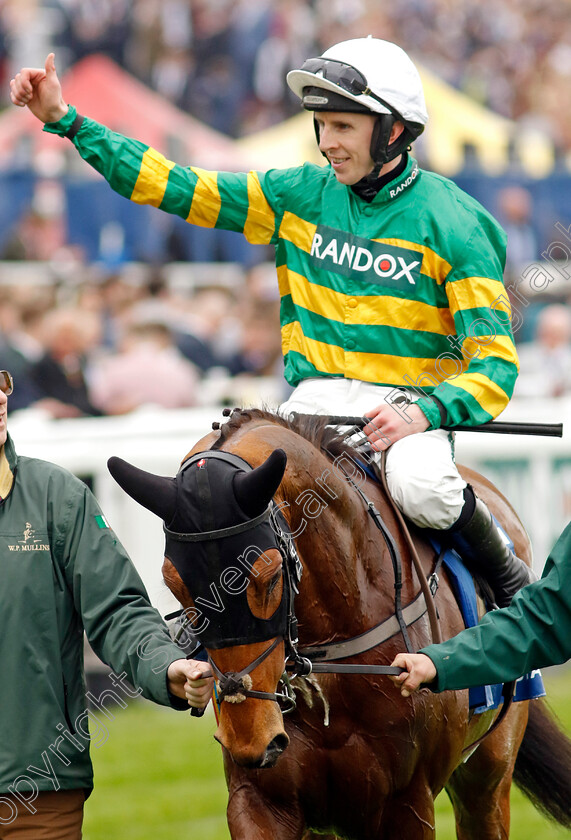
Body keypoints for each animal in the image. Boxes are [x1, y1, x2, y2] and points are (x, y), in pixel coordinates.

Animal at [108, 408, 571, 840]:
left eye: (270, 577)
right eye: (174, 584)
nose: (250, 740)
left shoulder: (408, 805)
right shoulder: (261, 800)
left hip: (488, 776)